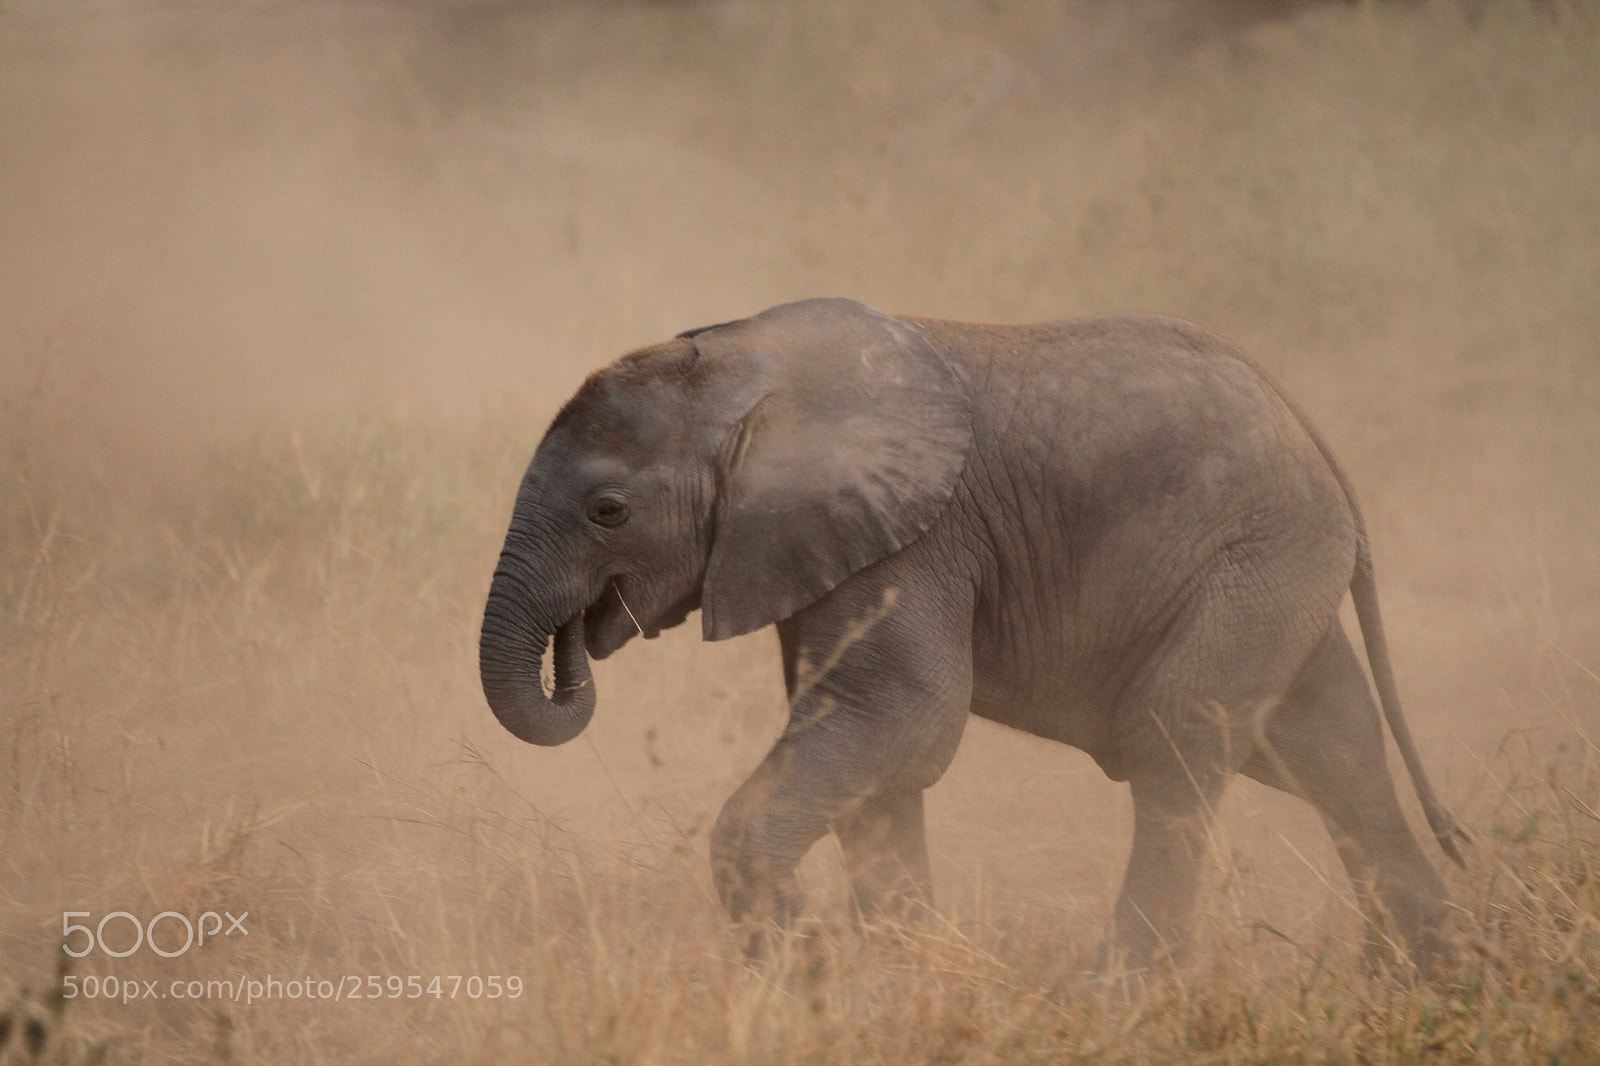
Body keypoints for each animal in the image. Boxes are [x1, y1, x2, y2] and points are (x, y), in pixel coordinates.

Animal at [479, 297, 1468, 971]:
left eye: (608, 510)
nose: (578, 641)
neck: (742, 365)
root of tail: (1314, 437)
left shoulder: (913, 539)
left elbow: (904, 721)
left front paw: (813, 974)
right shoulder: (828, 546)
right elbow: (876, 756)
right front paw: (899, 975)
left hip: (1254, 563)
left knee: (1177, 741)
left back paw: (1122, 990)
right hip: (1279, 575)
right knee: (1330, 750)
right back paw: (1433, 977)